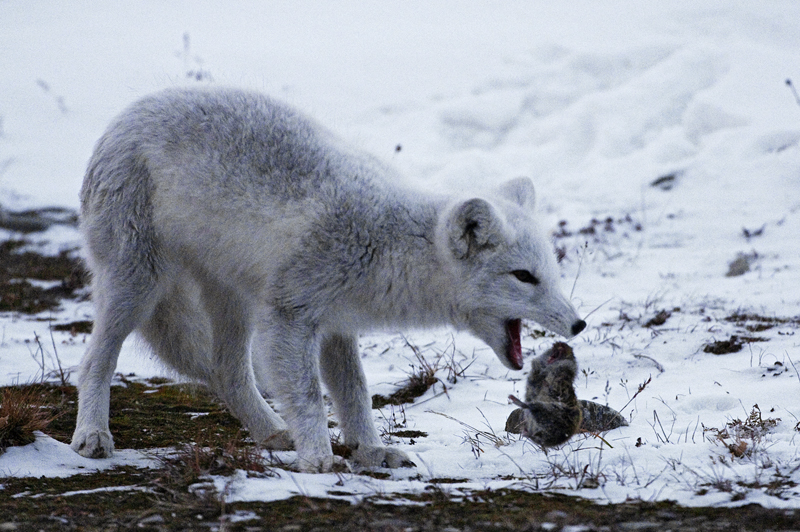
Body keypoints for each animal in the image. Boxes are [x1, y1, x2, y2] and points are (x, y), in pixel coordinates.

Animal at [72, 88, 584, 474]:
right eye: (524, 277)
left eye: (551, 273)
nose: (578, 325)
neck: (387, 243)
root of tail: (128, 113)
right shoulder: (290, 317)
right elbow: (308, 397)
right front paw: (319, 458)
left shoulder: (337, 326)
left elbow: (354, 395)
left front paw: (371, 452)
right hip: (137, 285)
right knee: (96, 359)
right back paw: (92, 436)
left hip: (233, 300)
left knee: (227, 371)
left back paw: (272, 432)